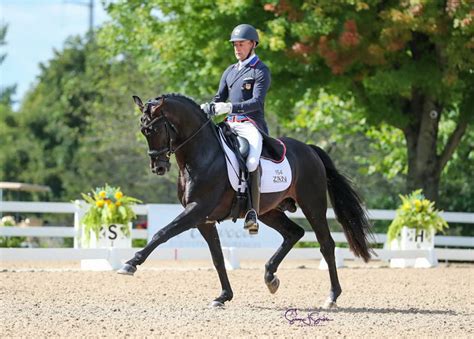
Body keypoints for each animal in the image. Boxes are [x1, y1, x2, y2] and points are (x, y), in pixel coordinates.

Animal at [119, 94, 374, 310]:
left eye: (153, 129)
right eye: (143, 130)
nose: (158, 167)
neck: (201, 155)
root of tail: (309, 150)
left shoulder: (197, 210)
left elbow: (162, 233)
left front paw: (130, 263)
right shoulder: (204, 219)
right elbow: (218, 257)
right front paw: (223, 296)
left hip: (313, 205)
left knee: (326, 244)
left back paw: (332, 297)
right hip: (268, 211)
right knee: (294, 233)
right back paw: (270, 277)